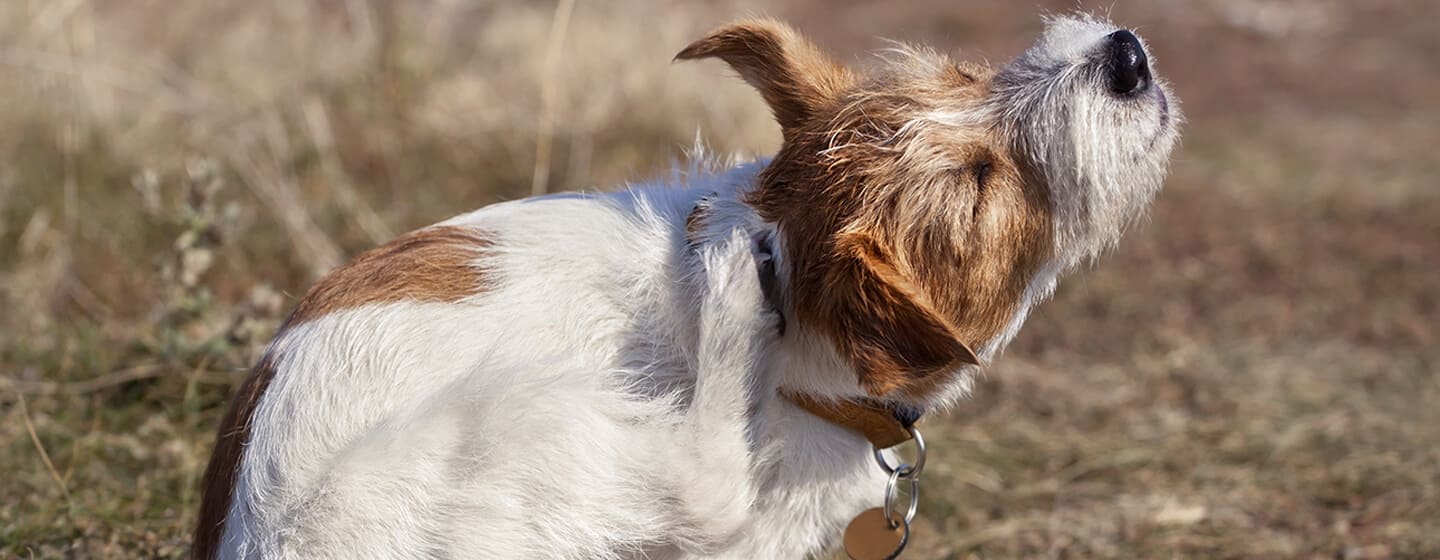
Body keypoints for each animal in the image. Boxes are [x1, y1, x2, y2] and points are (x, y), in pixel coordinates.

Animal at [191, 14, 1180, 558]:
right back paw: (731, 291)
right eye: (980, 181)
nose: (1126, 54)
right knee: (706, 482)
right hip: (529, 420)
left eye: (967, 75)